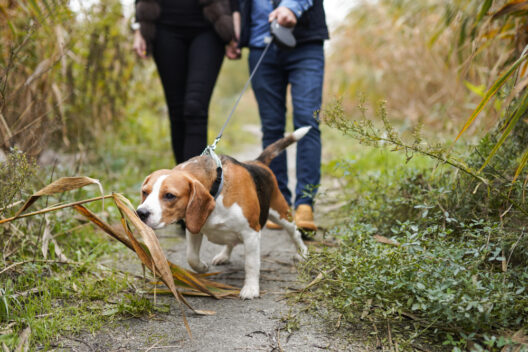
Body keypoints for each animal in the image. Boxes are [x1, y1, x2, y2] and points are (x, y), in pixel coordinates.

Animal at [136, 126, 310, 296]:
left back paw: (303, 252)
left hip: (282, 215)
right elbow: (191, 257)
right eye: (145, 192)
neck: (216, 190)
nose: (140, 213)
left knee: (294, 233)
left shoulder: (251, 233)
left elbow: (251, 264)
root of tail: (257, 162)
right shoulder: (194, 228)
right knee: (230, 241)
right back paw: (224, 255)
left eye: (170, 195)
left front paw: (251, 288)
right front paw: (202, 267)